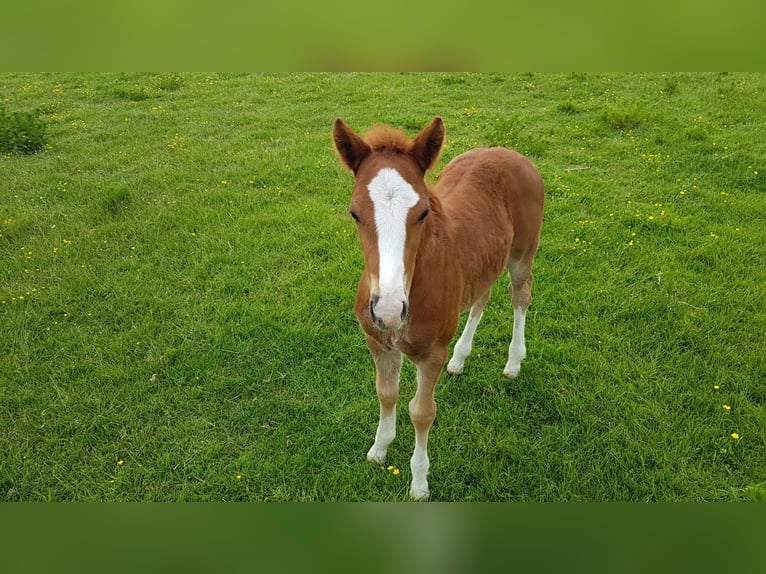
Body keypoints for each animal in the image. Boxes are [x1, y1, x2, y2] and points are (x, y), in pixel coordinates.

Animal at [336, 117, 544, 500]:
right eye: (354, 212)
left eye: (423, 213)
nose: (389, 311)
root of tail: (508, 151)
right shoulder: (378, 344)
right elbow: (386, 394)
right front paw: (379, 448)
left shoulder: (430, 354)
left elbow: (421, 412)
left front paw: (419, 483)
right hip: (483, 262)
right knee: (481, 297)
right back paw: (460, 358)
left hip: (523, 252)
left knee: (520, 295)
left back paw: (513, 361)